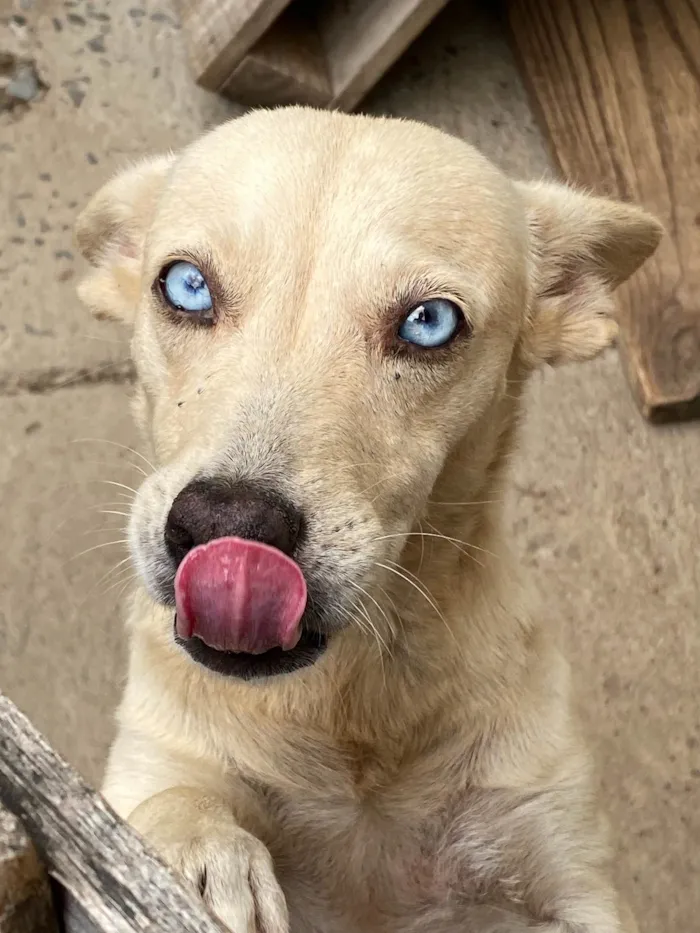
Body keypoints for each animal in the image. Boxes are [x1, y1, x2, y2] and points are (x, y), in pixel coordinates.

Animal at [75, 105, 660, 928]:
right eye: (186, 286)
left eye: (429, 322)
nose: (227, 524)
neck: (352, 699)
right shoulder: (156, 757)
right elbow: (169, 806)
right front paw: (203, 860)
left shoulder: (564, 862)